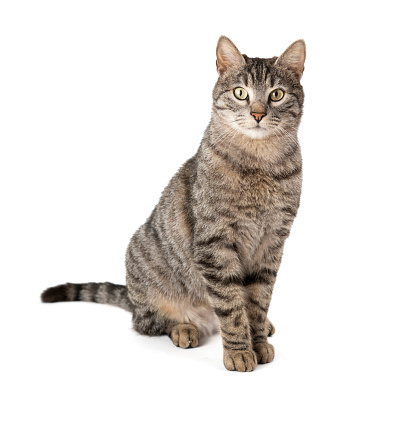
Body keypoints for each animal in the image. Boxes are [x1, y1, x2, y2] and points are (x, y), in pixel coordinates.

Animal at [43, 36, 308, 372]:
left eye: (276, 94)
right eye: (240, 93)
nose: (258, 114)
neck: (260, 163)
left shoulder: (272, 243)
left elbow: (258, 302)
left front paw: (258, 340)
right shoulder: (215, 244)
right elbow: (232, 307)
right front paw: (238, 350)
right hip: (144, 261)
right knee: (148, 322)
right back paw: (184, 328)